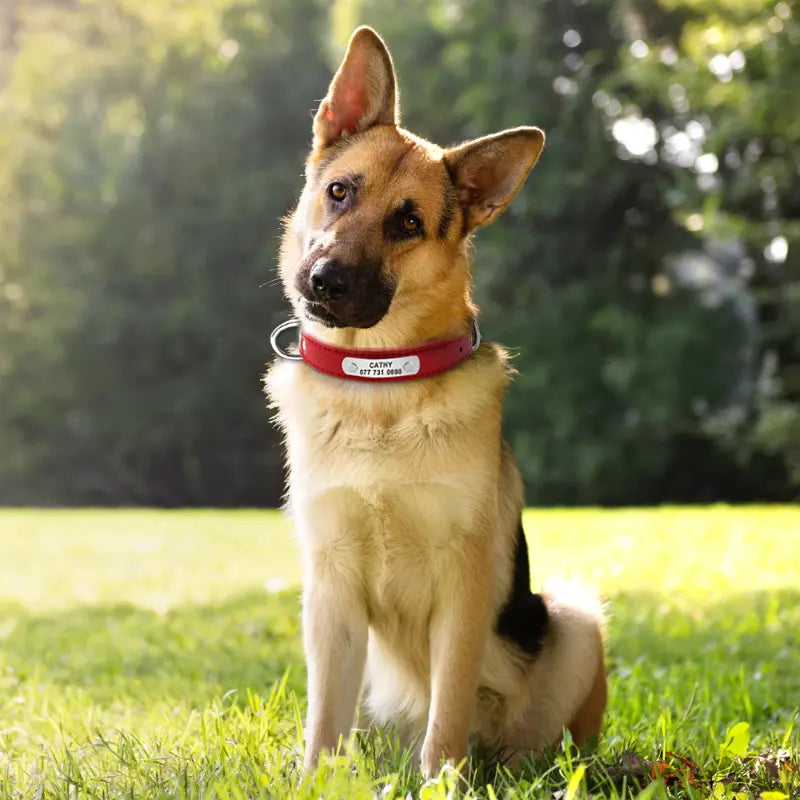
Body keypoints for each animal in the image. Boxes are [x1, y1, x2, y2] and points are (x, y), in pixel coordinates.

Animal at [264, 26, 608, 780]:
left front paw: (443, 784)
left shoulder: (465, 585)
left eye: (409, 223)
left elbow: (446, 711)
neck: (380, 384)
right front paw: (315, 782)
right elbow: (322, 721)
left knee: (540, 740)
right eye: (339, 192)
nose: (324, 281)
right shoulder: (330, 590)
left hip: (574, 620)